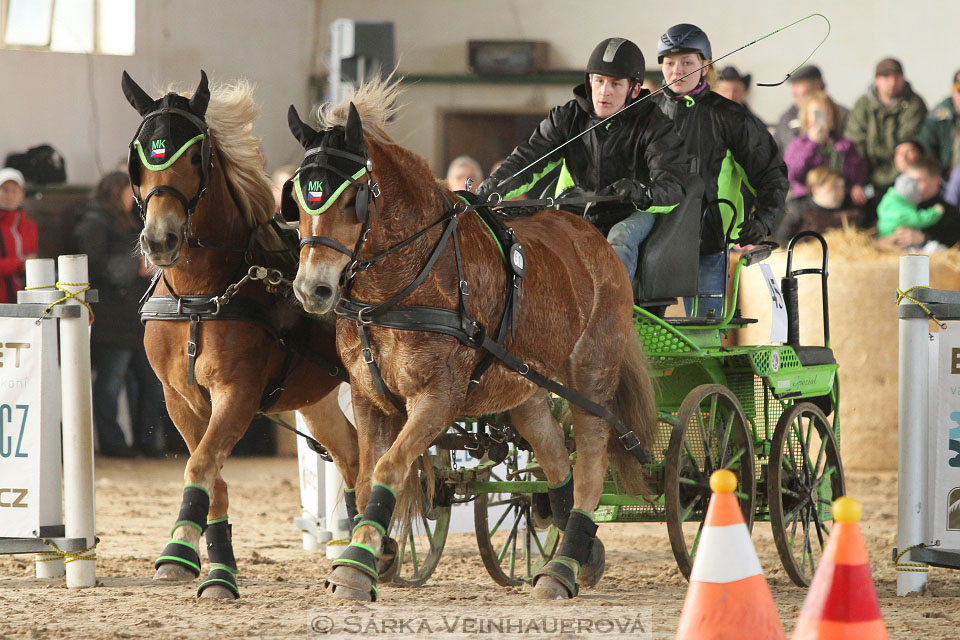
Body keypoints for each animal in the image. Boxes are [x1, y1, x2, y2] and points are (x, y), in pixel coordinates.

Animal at [121, 71, 360, 600]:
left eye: (196, 157)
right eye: (140, 156)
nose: (160, 240)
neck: (201, 295)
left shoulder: (239, 393)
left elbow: (201, 465)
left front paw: (180, 551)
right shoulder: (179, 398)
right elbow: (211, 476)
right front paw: (210, 565)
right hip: (317, 396)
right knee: (352, 453)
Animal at [284, 79, 656, 600]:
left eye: (353, 196)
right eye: (296, 200)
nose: (311, 289)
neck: (404, 285)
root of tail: (590, 233)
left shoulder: (439, 396)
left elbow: (389, 468)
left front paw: (356, 567)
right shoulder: (368, 397)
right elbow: (366, 477)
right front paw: (366, 556)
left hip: (591, 377)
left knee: (590, 464)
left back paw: (562, 567)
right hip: (527, 387)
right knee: (554, 463)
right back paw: (583, 552)